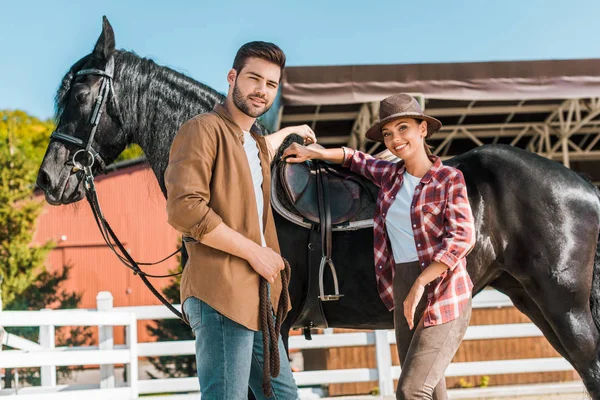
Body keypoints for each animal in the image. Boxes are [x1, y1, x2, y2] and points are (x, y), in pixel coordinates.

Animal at [36, 16, 600, 396]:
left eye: (81, 94)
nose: (49, 178)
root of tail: (580, 183)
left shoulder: (275, 324)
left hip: (563, 306)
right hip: (532, 301)